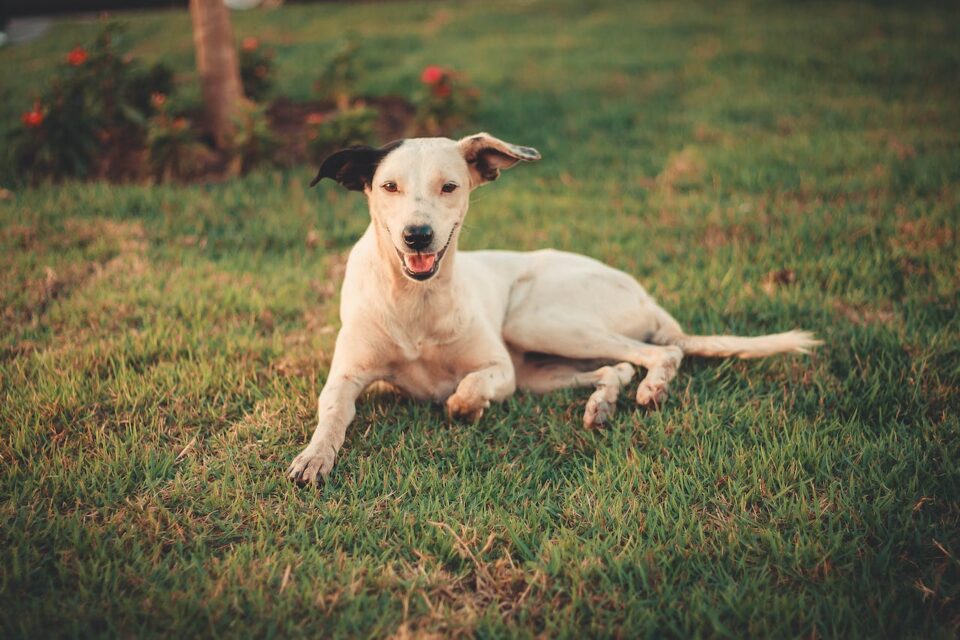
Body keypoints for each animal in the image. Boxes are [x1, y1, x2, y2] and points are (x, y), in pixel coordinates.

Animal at [284, 135, 816, 484]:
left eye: (449, 186)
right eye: (389, 187)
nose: (418, 235)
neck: (416, 299)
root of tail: (647, 298)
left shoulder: (500, 371)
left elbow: (466, 389)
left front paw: (463, 406)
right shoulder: (347, 377)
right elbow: (332, 413)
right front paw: (313, 457)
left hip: (536, 323)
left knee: (661, 354)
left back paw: (652, 389)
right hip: (538, 367)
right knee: (618, 367)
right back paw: (602, 404)